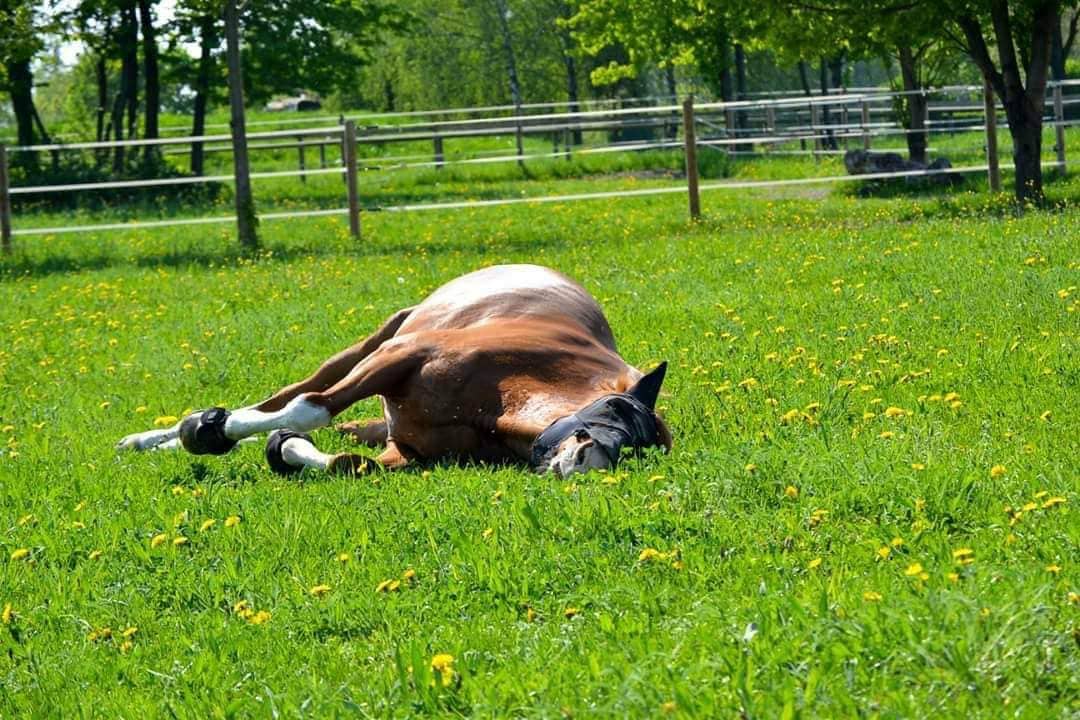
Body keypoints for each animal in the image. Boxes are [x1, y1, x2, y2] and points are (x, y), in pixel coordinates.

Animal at [122, 264, 669, 479]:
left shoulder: (406, 450)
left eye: (638, 448)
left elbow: (344, 461)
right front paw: (206, 431)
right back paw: (171, 434)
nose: (593, 457)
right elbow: (308, 410)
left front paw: (284, 448)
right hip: (374, 343)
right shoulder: (399, 357)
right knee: (287, 395)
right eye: (615, 408)